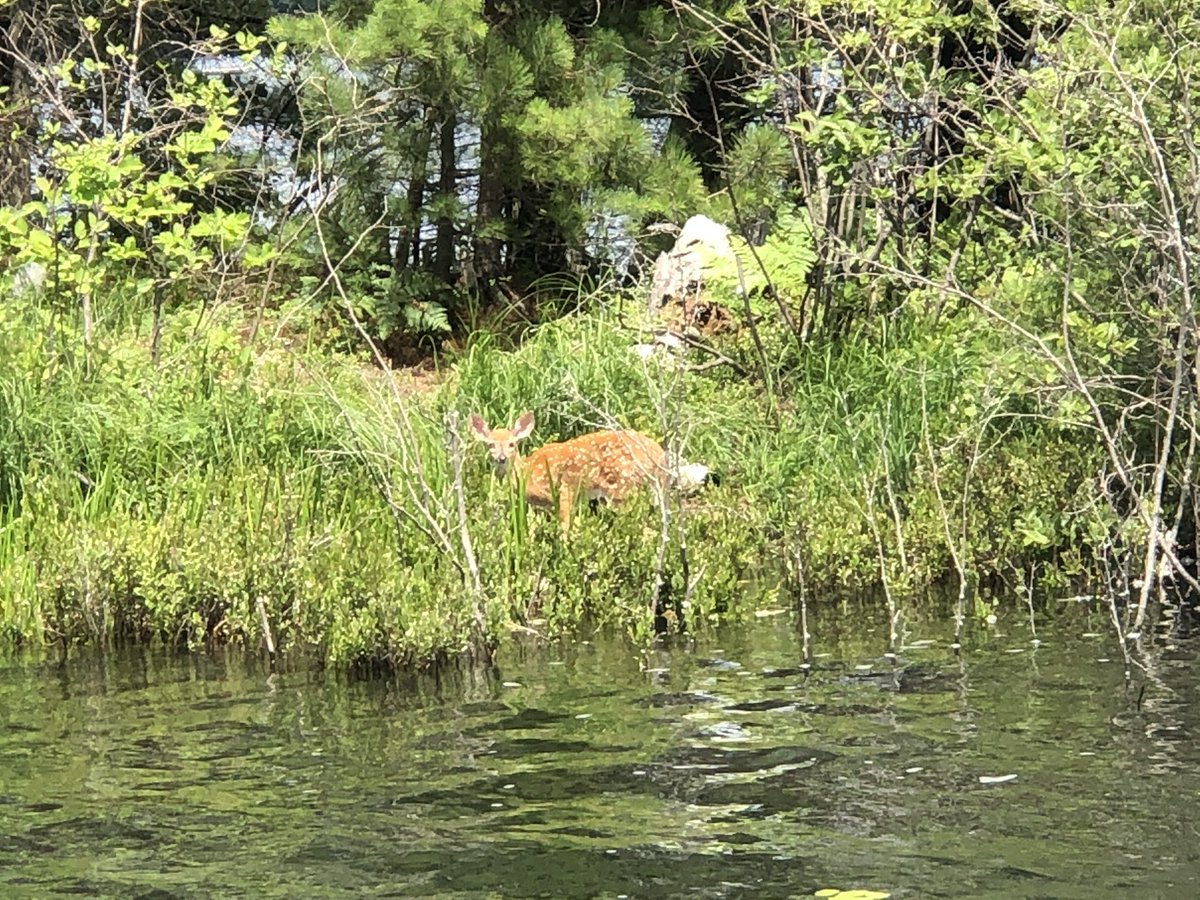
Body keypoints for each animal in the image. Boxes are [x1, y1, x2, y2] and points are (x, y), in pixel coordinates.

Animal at [468, 410, 671, 531]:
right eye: (490, 445)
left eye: (512, 444)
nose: (501, 458)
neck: (527, 472)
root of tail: (659, 455)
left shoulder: (564, 489)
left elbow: (565, 526)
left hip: (622, 486)